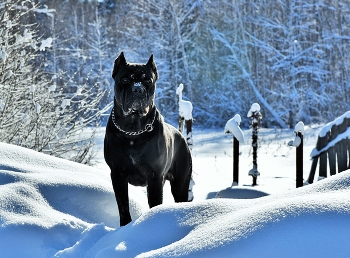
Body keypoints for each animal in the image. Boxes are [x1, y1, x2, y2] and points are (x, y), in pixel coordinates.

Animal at [104, 52, 193, 226]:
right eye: (125, 79)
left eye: (147, 81)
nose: (138, 89)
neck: (132, 129)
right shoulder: (117, 174)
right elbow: (123, 205)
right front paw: (125, 225)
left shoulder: (154, 177)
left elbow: (155, 203)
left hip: (180, 183)